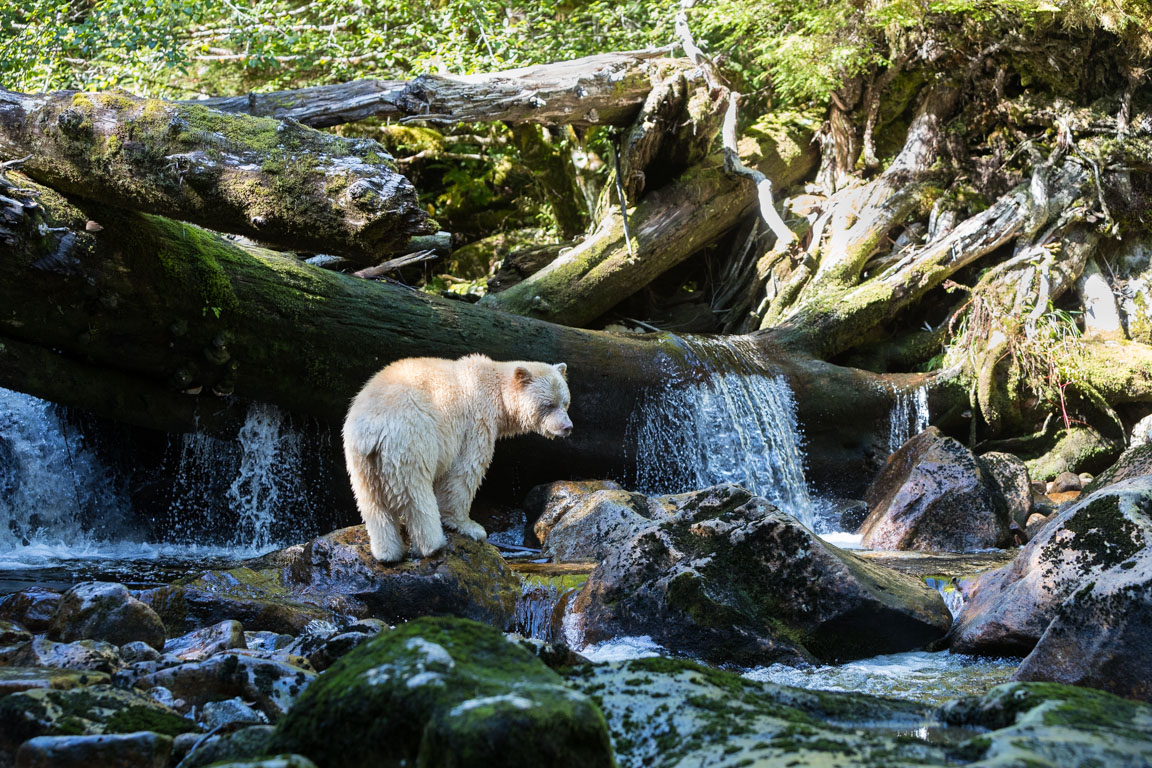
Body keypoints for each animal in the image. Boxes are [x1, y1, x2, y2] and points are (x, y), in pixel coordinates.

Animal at [343, 356, 573, 564]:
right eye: (548, 404)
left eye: (565, 402)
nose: (567, 427)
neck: (496, 388)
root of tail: (371, 429)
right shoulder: (476, 423)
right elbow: (464, 471)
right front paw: (471, 527)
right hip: (410, 440)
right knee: (415, 493)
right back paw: (432, 545)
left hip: (362, 460)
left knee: (372, 503)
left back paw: (387, 553)